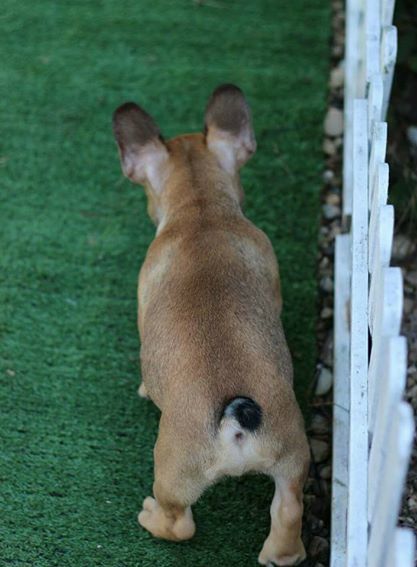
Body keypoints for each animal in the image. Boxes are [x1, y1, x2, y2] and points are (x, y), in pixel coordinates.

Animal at [112, 84, 310, 566]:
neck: (201, 209)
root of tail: (235, 425)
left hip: (173, 469)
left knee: (180, 523)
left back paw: (152, 517)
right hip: (292, 456)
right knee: (288, 510)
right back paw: (282, 553)